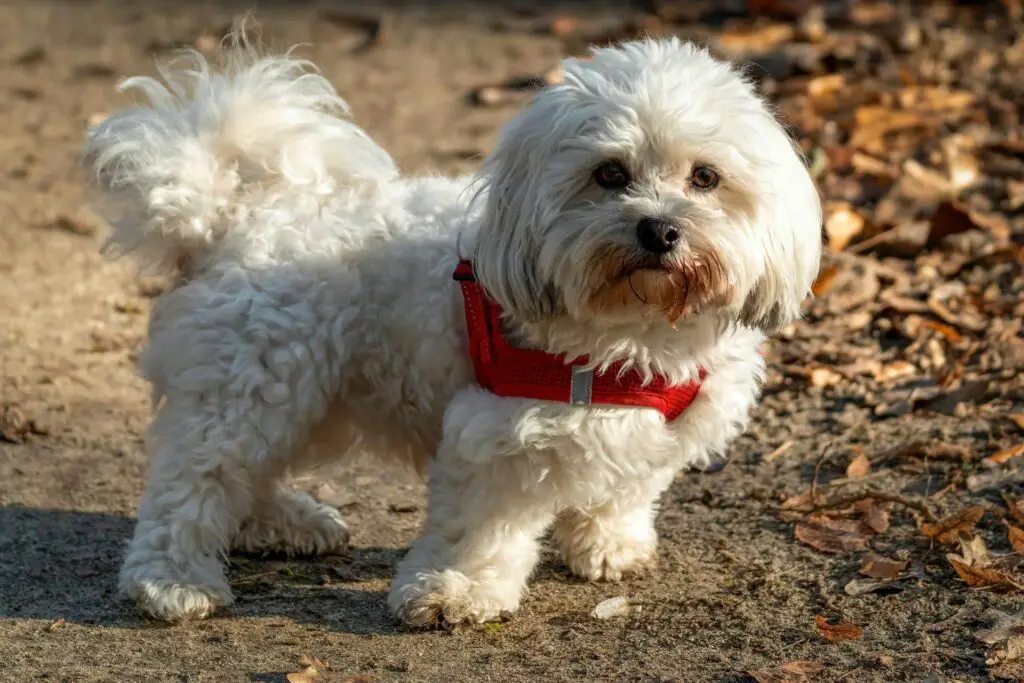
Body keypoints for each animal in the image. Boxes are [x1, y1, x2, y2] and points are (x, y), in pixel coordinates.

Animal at [83, 34, 823, 626]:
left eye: (706, 177)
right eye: (610, 173)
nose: (660, 230)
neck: (637, 331)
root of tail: (234, 212)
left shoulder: (656, 428)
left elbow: (624, 489)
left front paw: (609, 543)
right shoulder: (497, 434)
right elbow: (481, 528)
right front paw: (455, 589)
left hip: (308, 393)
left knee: (247, 473)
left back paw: (281, 522)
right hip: (255, 381)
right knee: (195, 478)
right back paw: (173, 579)